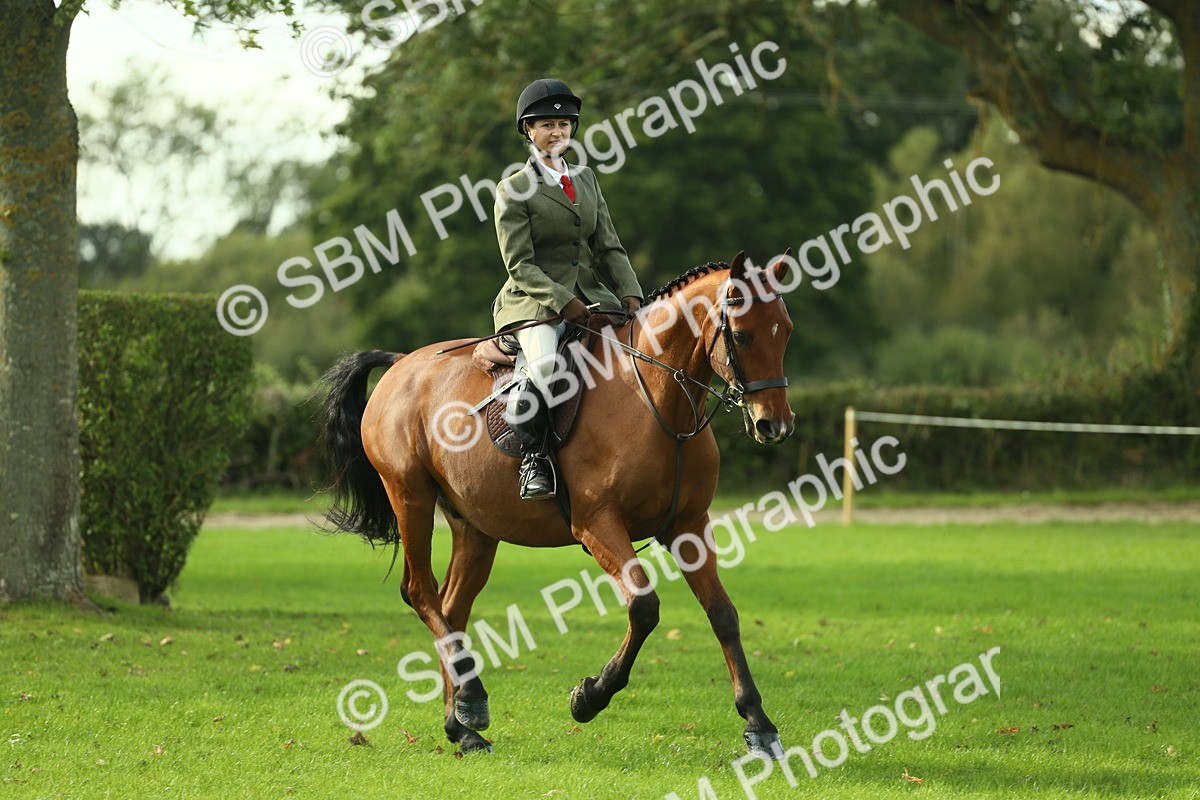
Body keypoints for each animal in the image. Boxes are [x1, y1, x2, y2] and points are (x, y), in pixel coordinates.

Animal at [319, 251, 796, 757]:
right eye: (742, 335)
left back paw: (462, 724)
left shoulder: (689, 525)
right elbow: (644, 607)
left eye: (785, 331)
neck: (654, 397)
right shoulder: (597, 524)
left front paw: (759, 724)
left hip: (475, 526)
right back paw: (472, 700)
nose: (775, 425)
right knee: (420, 592)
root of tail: (401, 363)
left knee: (452, 606)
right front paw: (589, 697)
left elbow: (723, 614)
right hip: (410, 496)